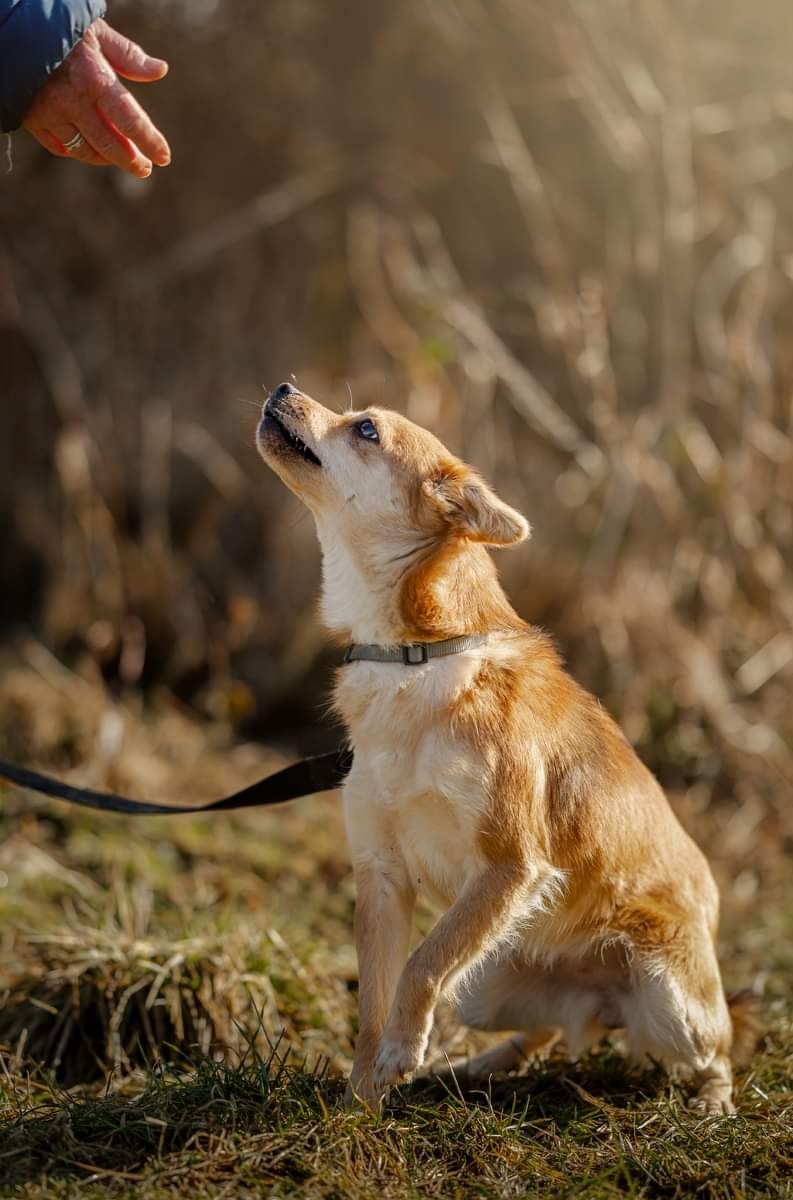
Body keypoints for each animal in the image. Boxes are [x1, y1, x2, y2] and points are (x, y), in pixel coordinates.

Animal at [256, 381, 758, 1113]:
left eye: (366, 429)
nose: (284, 388)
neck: (413, 657)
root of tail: (601, 1001)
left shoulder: (510, 864)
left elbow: (421, 964)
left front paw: (400, 1051)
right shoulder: (381, 874)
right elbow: (374, 999)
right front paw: (359, 1100)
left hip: (669, 998)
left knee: (716, 1049)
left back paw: (712, 1103)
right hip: (490, 980)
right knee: (545, 1029)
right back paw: (476, 1065)